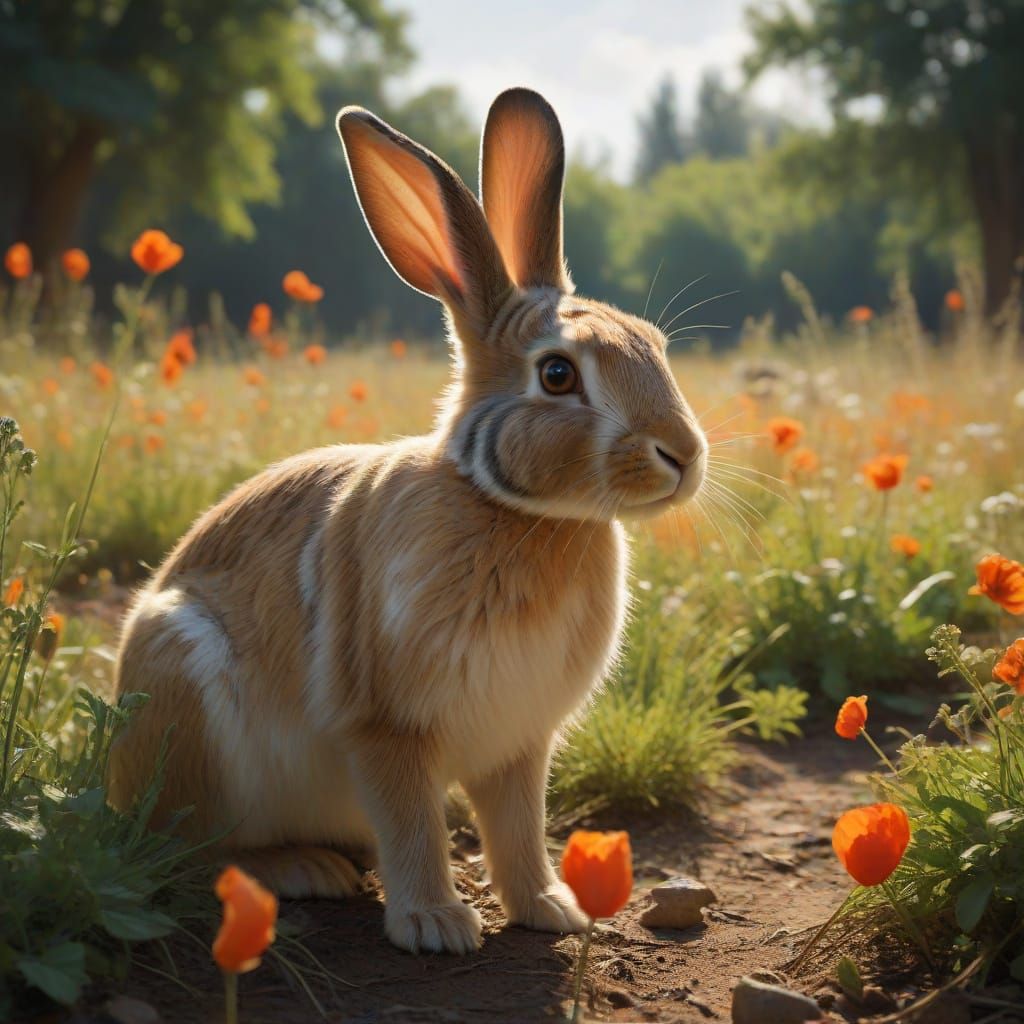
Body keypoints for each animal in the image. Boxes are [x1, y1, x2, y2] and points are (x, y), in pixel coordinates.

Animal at [106, 87, 708, 955]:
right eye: (558, 375)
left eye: (655, 345)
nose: (684, 456)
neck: (513, 508)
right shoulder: (386, 728)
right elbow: (413, 824)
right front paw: (435, 925)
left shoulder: (519, 741)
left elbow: (518, 829)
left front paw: (548, 908)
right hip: (186, 698)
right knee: (192, 848)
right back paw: (303, 871)